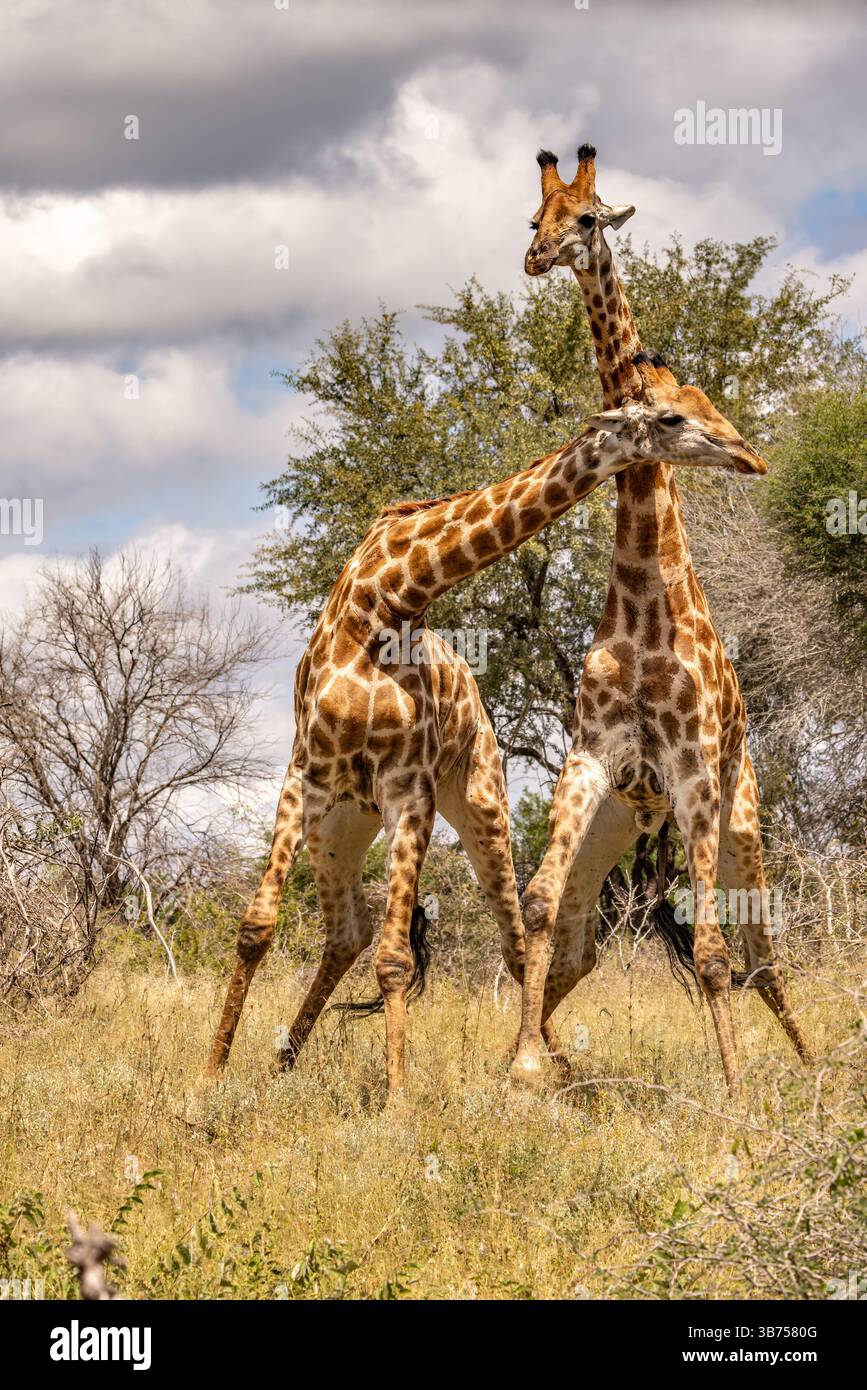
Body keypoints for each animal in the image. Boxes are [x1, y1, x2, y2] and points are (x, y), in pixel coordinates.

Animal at [205, 396, 765, 1103]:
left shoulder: (408, 784)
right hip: (340, 822)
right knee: (349, 930)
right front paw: (210, 1073)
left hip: (478, 805)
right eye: (670, 415)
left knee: (511, 941)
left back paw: (552, 1065)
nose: (747, 454)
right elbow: (257, 927)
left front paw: (397, 1101)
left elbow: (396, 958)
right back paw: (286, 1059)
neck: (388, 597)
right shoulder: (305, 769)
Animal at [516, 143, 812, 1096]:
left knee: (762, 956)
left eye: (587, 217)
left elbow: (714, 954)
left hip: (740, 818)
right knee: (577, 947)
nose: (535, 259)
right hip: (620, 829)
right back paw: (549, 1055)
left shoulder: (690, 777)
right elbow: (536, 904)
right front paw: (518, 1068)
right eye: (534, 217)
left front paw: (735, 1095)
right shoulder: (590, 758)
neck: (645, 595)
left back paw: (808, 1068)